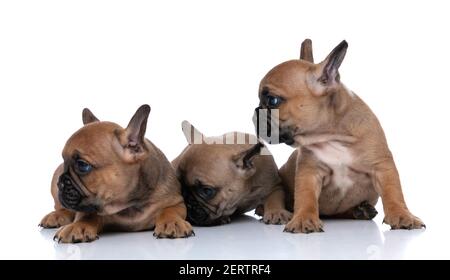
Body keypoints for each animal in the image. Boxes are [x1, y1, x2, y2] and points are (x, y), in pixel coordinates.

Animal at [39, 105, 193, 243]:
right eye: (64, 161)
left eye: (82, 165)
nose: (60, 183)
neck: (128, 205)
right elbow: (86, 215)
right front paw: (77, 226)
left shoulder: (176, 201)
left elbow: (170, 211)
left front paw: (172, 222)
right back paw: (55, 216)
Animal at [253, 38, 426, 232]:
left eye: (273, 100)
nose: (255, 112)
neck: (332, 136)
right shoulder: (309, 172)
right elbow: (305, 197)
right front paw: (303, 218)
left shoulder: (382, 166)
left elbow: (393, 192)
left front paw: (403, 215)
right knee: (274, 196)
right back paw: (273, 212)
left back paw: (361, 211)